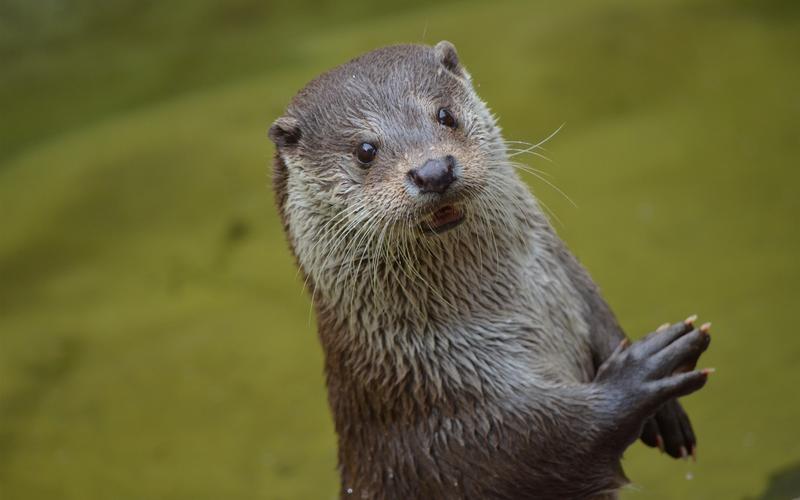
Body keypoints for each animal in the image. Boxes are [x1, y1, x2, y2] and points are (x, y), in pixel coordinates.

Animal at [268, 41, 712, 498]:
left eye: (445, 115)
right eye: (364, 150)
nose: (433, 170)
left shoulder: (571, 280)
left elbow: (602, 316)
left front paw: (667, 413)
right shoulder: (448, 428)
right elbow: (545, 444)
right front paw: (642, 374)